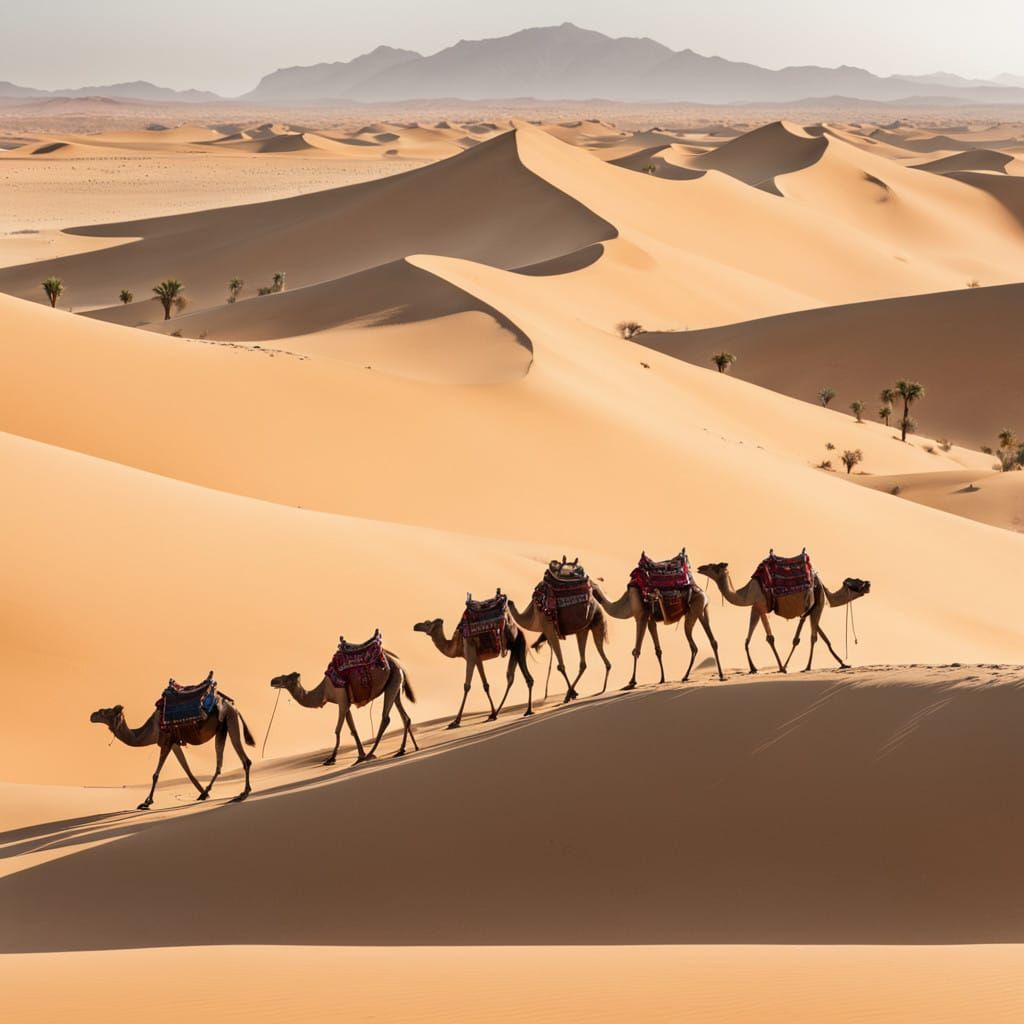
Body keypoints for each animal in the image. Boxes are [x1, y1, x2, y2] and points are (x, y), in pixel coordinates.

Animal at [89, 687, 254, 809]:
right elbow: (187, 769)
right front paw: (203, 793)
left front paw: (147, 802)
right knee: (219, 764)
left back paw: (243, 793)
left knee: (245, 760)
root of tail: (233, 706)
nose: (92, 715)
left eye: (104, 712)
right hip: (222, 728)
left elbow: (155, 774)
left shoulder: (167, 741)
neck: (151, 730)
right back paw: (207, 792)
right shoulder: (174, 743)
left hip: (230, 720)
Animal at [269, 647, 417, 767]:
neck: (325, 691)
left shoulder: (341, 699)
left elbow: (337, 730)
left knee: (386, 718)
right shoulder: (347, 703)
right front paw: (360, 756)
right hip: (394, 683)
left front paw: (331, 759)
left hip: (392, 682)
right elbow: (353, 729)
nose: (272, 681)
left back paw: (372, 754)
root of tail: (398, 664)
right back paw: (406, 749)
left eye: (286, 678)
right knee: (405, 717)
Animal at [507, 558, 611, 702]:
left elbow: (560, 666)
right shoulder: (549, 631)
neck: (532, 614)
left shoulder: (548, 627)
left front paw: (572, 694)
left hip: (594, 624)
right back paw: (598, 688)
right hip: (584, 629)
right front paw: (572, 693)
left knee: (598, 657)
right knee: (587, 662)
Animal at [593, 578, 724, 689]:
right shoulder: (650, 620)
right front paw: (662, 679)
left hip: (694, 612)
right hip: (701, 611)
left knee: (694, 646)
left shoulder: (641, 617)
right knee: (711, 641)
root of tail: (702, 593)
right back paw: (718, 675)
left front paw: (632, 682)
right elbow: (658, 650)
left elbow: (636, 651)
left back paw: (688, 676)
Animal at [697, 561, 871, 673]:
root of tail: (818, 581)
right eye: (856, 582)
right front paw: (753, 669)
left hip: (815, 601)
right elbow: (747, 639)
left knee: (812, 635)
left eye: (714, 566)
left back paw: (807, 666)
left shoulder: (761, 606)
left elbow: (771, 638)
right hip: (814, 604)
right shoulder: (756, 608)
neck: (746, 593)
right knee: (814, 634)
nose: (700, 568)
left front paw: (782, 667)